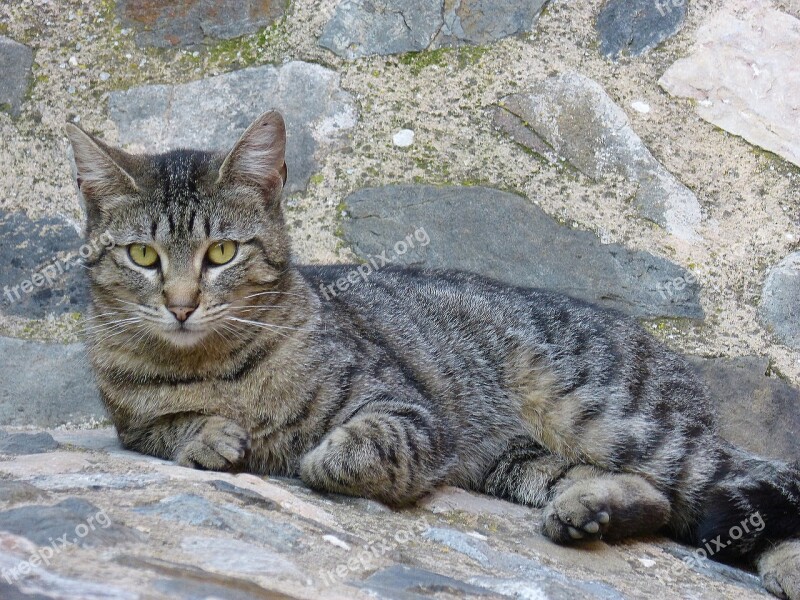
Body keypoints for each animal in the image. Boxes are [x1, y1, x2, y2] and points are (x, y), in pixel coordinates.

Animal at [69, 111, 800, 596]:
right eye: (143, 256)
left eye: (221, 252)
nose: (181, 304)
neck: (212, 365)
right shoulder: (129, 424)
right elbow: (165, 430)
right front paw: (208, 436)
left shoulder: (407, 408)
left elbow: (349, 450)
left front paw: (315, 453)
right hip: (520, 463)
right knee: (653, 500)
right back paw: (590, 510)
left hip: (619, 422)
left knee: (749, 480)